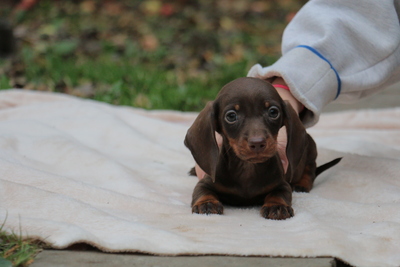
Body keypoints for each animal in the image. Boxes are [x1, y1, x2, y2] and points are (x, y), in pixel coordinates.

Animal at [184, 77, 340, 220]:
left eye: (273, 112)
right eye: (231, 116)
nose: (258, 143)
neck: (247, 169)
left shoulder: (282, 185)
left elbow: (279, 194)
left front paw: (277, 205)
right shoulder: (205, 182)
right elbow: (202, 191)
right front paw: (207, 203)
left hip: (311, 149)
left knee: (310, 168)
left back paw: (301, 184)